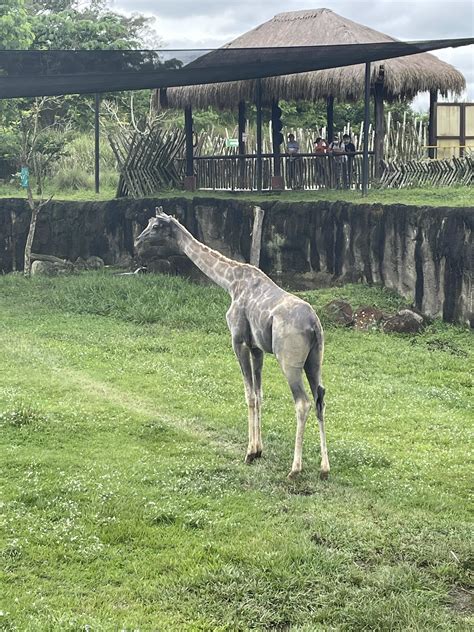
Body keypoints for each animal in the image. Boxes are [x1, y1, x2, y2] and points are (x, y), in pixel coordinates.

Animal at [133, 207, 330, 478]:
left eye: (154, 226)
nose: (137, 242)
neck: (229, 282)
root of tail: (314, 326)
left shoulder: (238, 340)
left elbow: (249, 395)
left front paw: (249, 453)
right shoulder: (257, 348)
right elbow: (259, 394)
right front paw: (258, 451)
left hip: (289, 361)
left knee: (302, 402)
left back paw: (295, 469)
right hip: (315, 360)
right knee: (320, 399)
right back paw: (324, 468)